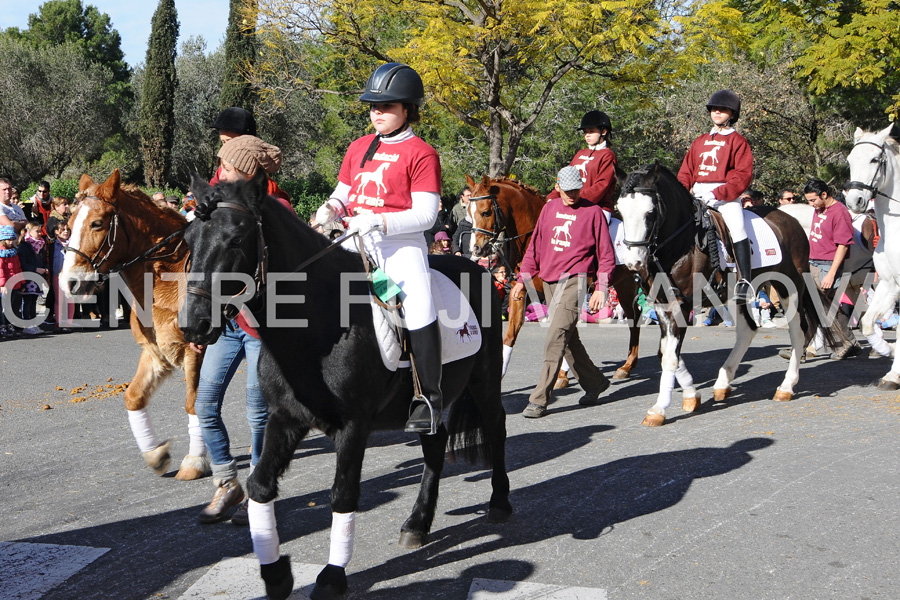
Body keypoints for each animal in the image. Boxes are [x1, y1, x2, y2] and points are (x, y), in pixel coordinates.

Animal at [59, 171, 209, 480]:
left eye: (97, 223)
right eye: (68, 223)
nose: (69, 283)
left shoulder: (196, 351)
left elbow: (194, 403)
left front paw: (195, 461)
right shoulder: (156, 353)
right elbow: (133, 397)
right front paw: (155, 453)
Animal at [179, 170, 512, 600]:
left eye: (236, 238)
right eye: (188, 239)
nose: (194, 324)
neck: (317, 324)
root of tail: (478, 268)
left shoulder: (354, 425)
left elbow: (343, 494)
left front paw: (332, 578)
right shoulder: (286, 417)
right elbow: (259, 485)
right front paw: (276, 575)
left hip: (484, 381)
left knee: (496, 427)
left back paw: (499, 503)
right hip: (431, 402)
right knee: (435, 447)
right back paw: (417, 523)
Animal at [464, 173, 648, 380]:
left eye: (486, 212)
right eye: (469, 212)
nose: (476, 249)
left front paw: (562, 374)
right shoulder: (521, 292)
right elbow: (511, 333)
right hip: (625, 283)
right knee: (634, 316)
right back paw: (627, 365)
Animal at [616, 164, 840, 426]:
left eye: (650, 212)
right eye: (620, 211)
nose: (633, 263)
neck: (680, 246)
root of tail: (790, 219)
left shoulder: (681, 306)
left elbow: (670, 357)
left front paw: (659, 409)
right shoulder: (664, 307)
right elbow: (666, 352)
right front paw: (691, 396)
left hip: (789, 287)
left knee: (798, 330)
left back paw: (786, 387)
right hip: (734, 295)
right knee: (748, 330)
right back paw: (723, 383)